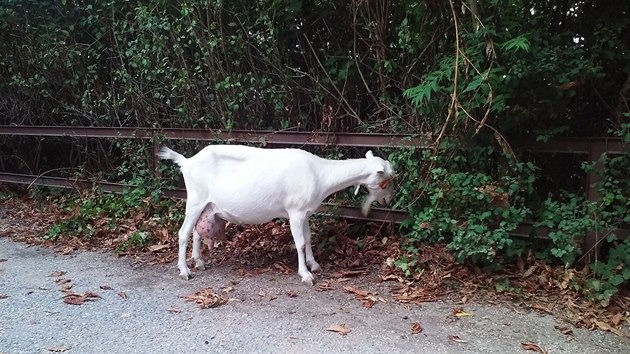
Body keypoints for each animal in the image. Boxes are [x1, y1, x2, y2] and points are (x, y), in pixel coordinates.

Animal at [158, 144, 396, 284]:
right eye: (385, 179)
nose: (388, 200)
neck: (319, 173)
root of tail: (186, 161)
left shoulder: (305, 212)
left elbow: (308, 238)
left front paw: (314, 265)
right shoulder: (295, 212)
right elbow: (300, 242)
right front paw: (305, 274)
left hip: (207, 206)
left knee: (197, 233)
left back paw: (198, 261)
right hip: (195, 199)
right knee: (183, 233)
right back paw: (185, 271)